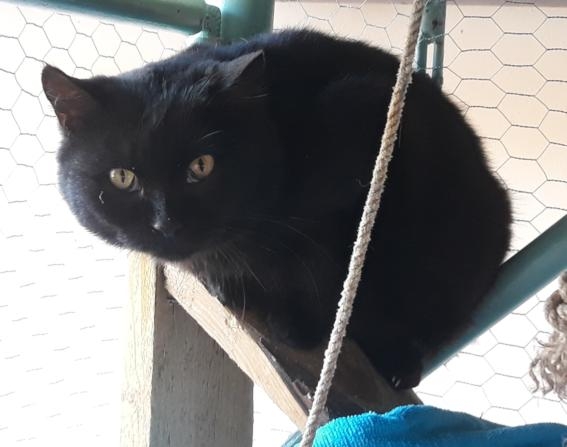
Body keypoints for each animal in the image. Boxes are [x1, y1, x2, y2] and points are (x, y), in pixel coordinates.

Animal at [41, 30, 510, 388]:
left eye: (201, 166)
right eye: (123, 177)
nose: (166, 223)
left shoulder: (371, 130)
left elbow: (329, 266)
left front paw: (299, 324)